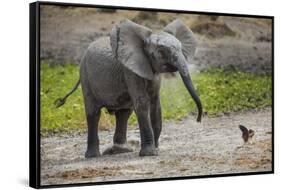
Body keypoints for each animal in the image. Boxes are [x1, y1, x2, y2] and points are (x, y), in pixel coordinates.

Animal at [55, 19, 201, 158]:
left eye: (181, 48)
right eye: (161, 52)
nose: (198, 120)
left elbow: (155, 105)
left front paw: (157, 150)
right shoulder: (130, 71)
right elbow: (142, 103)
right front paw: (149, 153)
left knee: (124, 113)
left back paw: (121, 150)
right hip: (85, 75)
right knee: (93, 113)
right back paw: (93, 156)